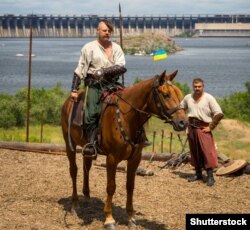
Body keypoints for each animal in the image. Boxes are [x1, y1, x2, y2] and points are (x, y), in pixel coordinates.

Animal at [61, 69, 188, 228]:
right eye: (165, 94)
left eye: (178, 94)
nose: (183, 122)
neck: (127, 117)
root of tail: (69, 101)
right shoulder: (111, 159)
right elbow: (111, 187)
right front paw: (109, 219)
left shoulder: (135, 159)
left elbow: (130, 186)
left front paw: (131, 217)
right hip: (69, 145)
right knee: (73, 171)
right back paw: (74, 204)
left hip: (87, 149)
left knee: (86, 168)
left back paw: (87, 197)